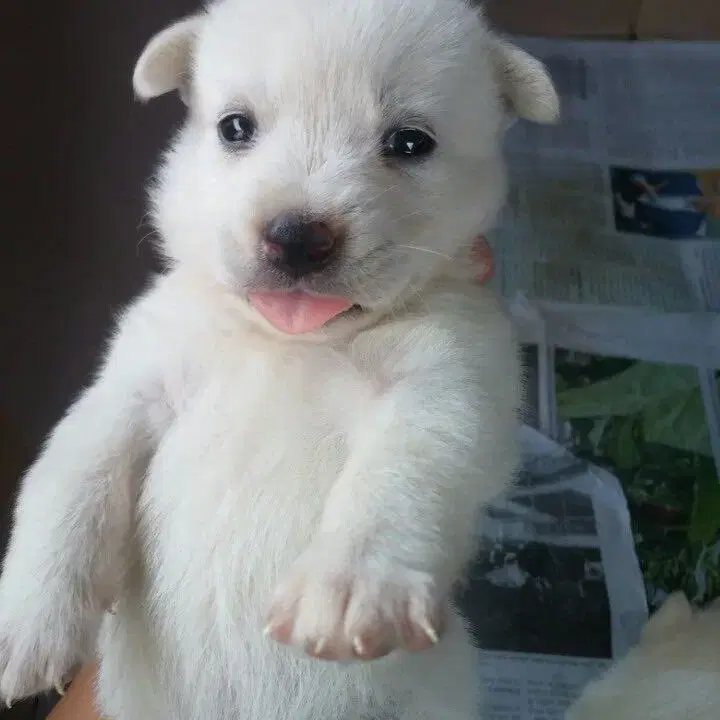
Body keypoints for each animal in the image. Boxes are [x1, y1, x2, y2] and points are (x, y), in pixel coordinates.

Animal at [0, 0, 556, 716]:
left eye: (410, 142)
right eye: (235, 127)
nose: (295, 237)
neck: (287, 344)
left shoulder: (448, 383)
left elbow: (398, 476)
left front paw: (351, 582)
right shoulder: (133, 386)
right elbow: (70, 485)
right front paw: (27, 620)